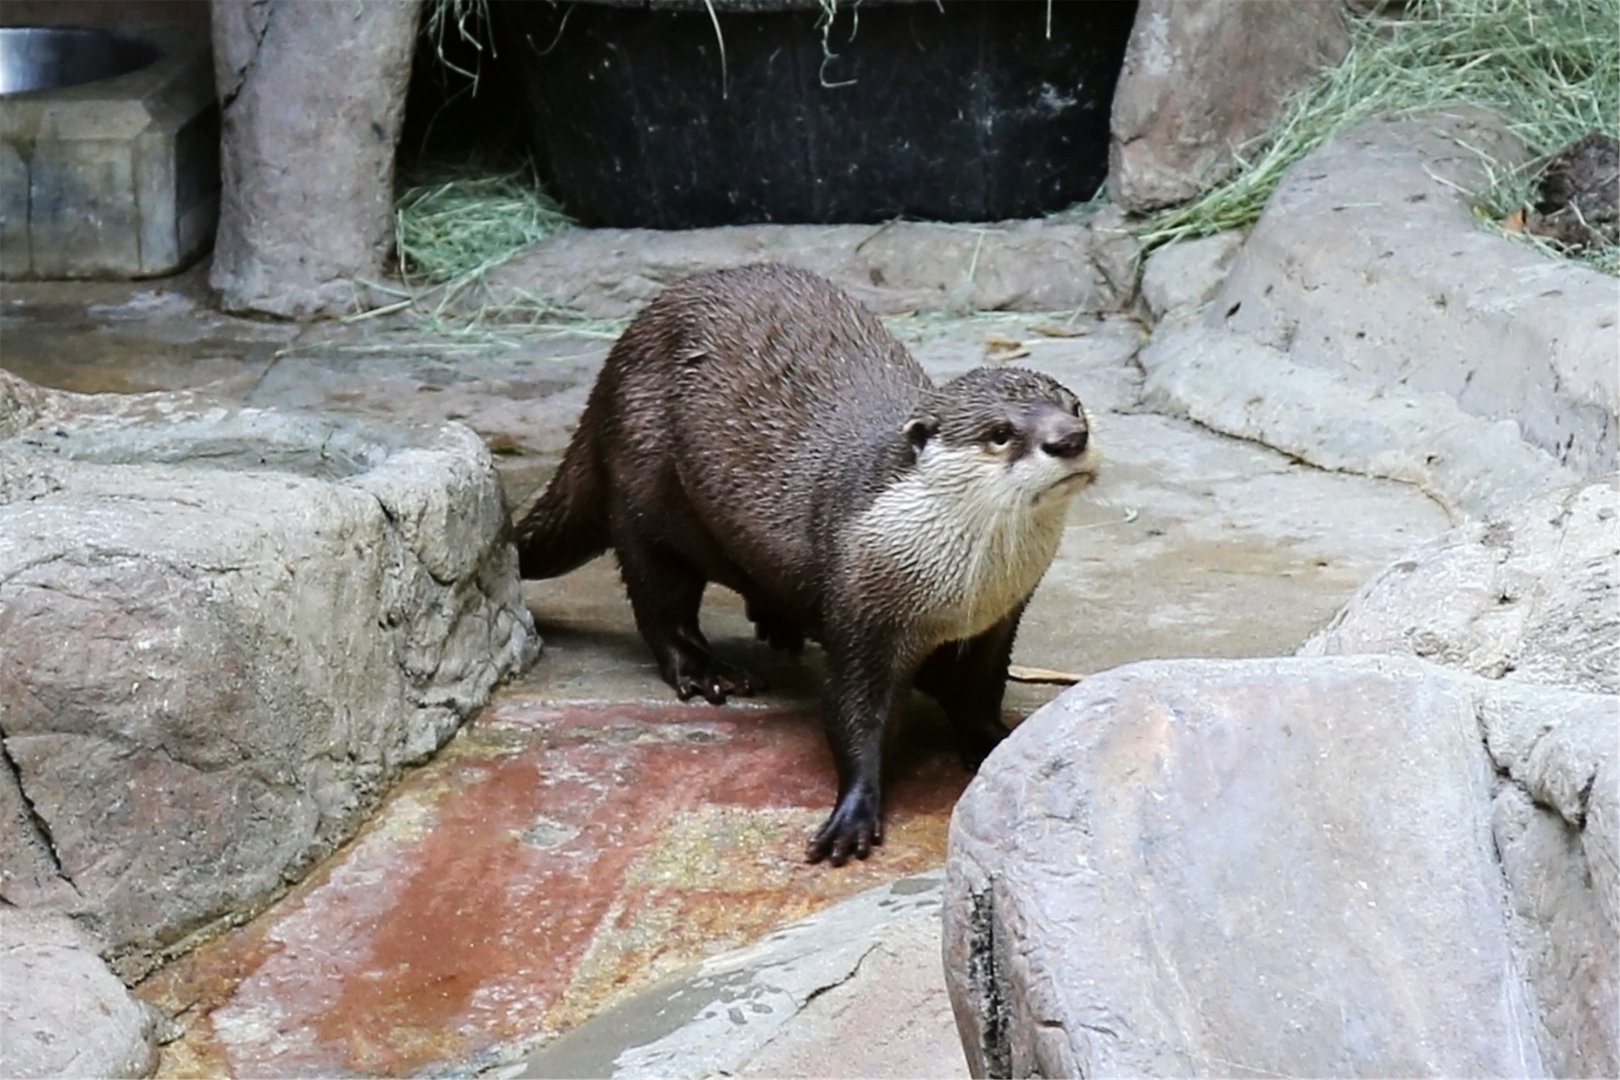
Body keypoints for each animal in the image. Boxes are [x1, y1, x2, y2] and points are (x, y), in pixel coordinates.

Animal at [516, 263, 1099, 865]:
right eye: (1000, 434)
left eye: (1074, 406)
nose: (1069, 438)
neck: (959, 591)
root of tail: (613, 364)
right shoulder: (860, 607)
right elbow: (851, 712)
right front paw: (853, 812)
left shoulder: (998, 620)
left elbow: (978, 693)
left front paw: (994, 744)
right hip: (642, 485)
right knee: (659, 599)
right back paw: (708, 671)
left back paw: (778, 626)